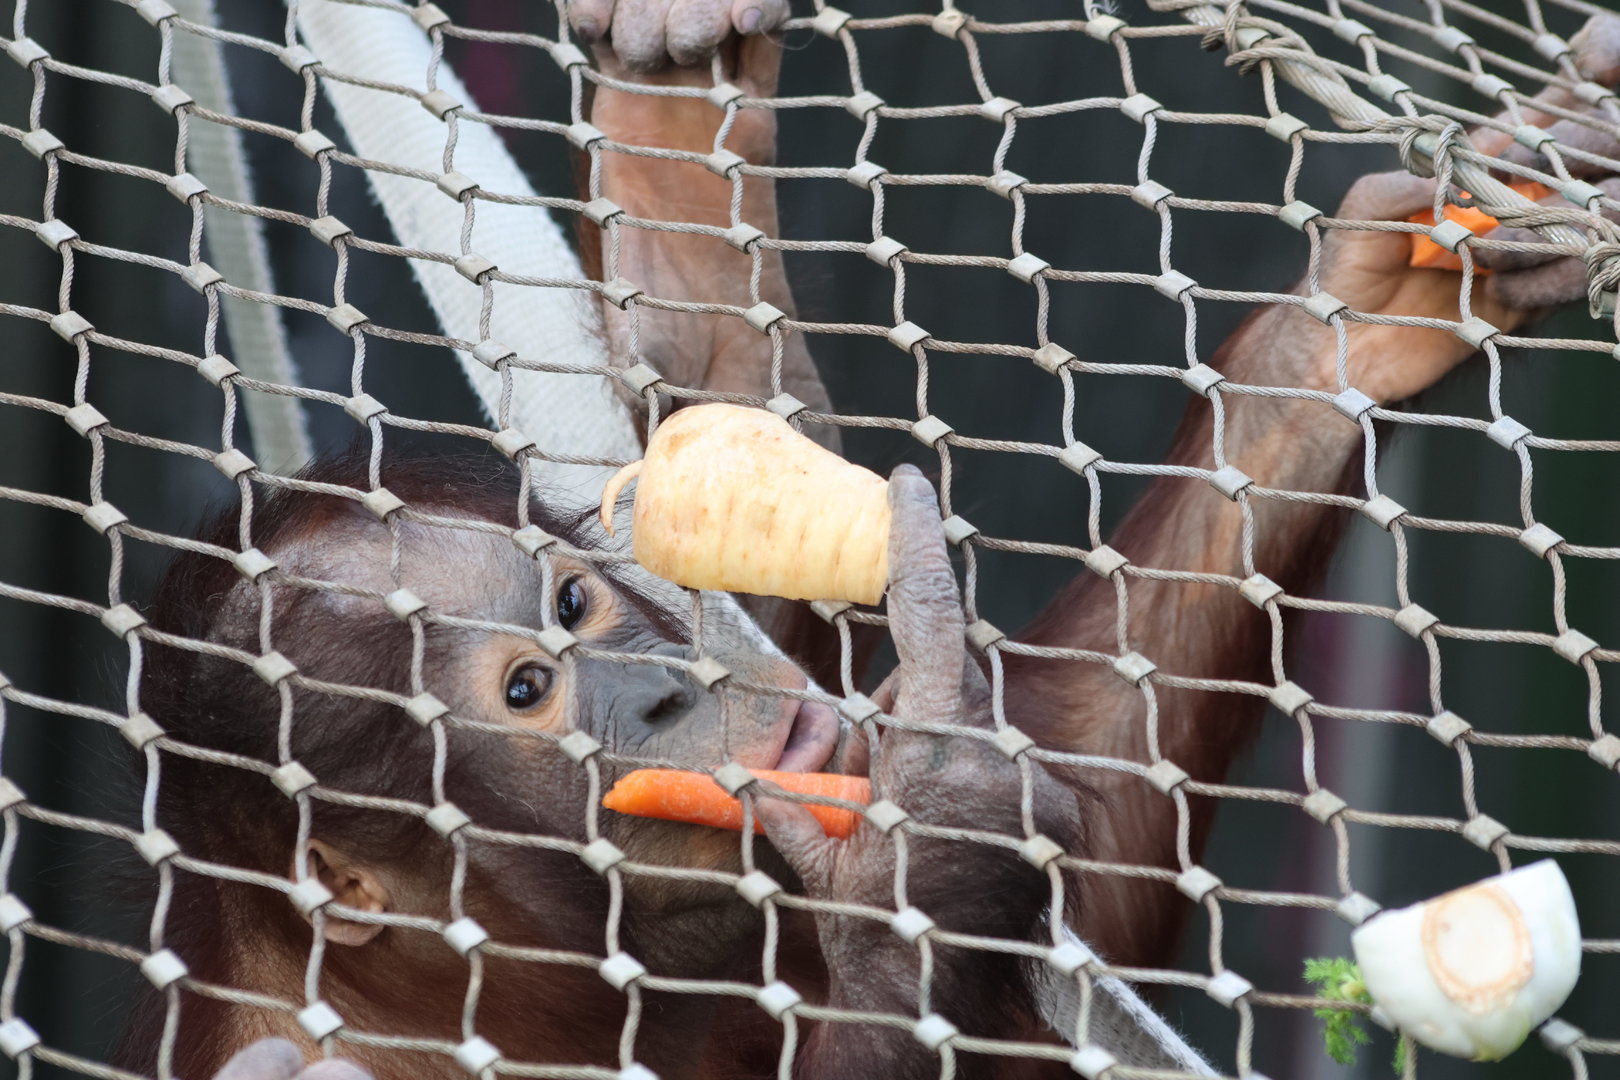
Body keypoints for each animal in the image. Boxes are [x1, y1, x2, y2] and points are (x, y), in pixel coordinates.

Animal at [112, 4, 1620, 1079]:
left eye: (575, 605)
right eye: (528, 691)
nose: (660, 695)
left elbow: (1098, 840)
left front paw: (1361, 321)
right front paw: (932, 844)